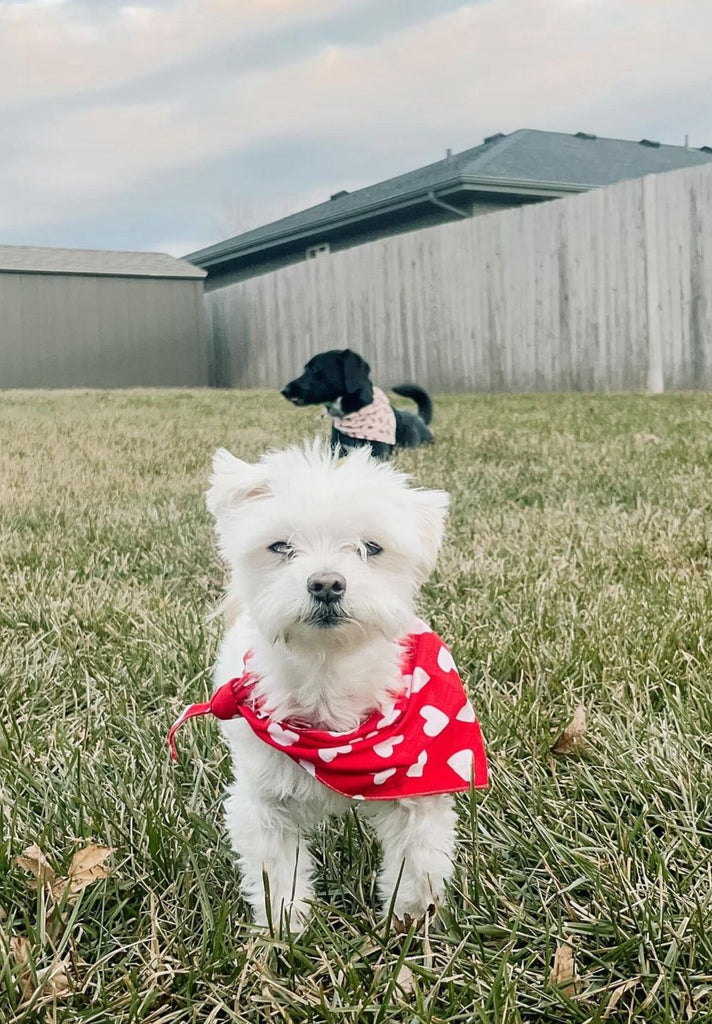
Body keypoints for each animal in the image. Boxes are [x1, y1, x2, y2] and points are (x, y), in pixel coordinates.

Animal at [170, 440, 487, 929]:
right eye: (280, 546)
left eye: (371, 547)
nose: (326, 583)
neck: (327, 680)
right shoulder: (263, 803)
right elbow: (277, 874)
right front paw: (285, 929)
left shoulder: (417, 790)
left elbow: (416, 867)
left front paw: (407, 926)